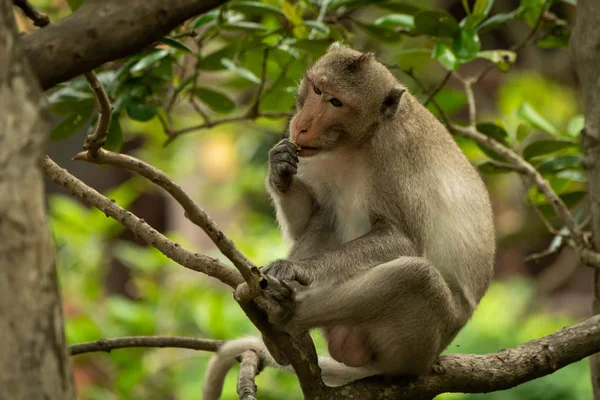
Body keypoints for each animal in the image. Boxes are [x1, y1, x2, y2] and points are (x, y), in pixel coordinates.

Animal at [202, 43, 492, 400]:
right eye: (317, 90)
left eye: (336, 102)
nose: (302, 126)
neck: (357, 141)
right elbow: (310, 218)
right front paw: (279, 170)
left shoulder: (395, 152)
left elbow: (403, 238)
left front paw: (295, 270)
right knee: (327, 221)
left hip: (419, 344)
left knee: (415, 277)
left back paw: (284, 317)